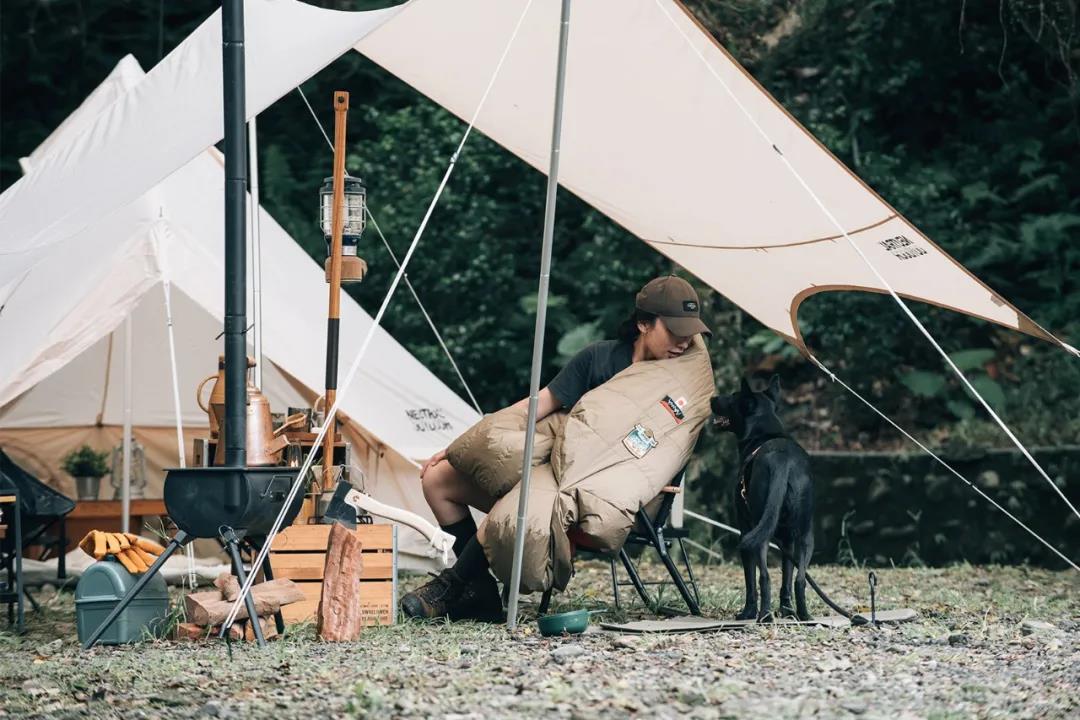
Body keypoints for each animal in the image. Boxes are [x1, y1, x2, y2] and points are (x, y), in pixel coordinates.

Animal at [711, 375, 814, 622]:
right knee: (800, 579)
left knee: (764, 577)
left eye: (732, 396)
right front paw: (787, 611)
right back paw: (804, 616)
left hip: (757, 534)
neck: (764, 433)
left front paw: (747, 613)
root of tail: (782, 461)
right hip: (805, 534)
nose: (712, 398)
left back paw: (764, 616)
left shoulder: (744, 530)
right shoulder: (787, 540)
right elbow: (787, 576)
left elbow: (750, 580)